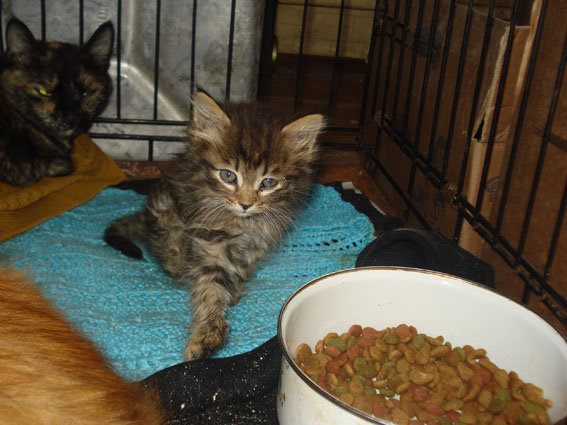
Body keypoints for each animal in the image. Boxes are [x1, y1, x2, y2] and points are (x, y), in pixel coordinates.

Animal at [104, 90, 326, 360]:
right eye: (228, 176)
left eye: (269, 182)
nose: (245, 204)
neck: (243, 224)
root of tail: (144, 216)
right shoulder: (209, 240)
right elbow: (211, 289)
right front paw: (206, 335)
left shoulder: (258, 243)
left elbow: (240, 269)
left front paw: (235, 288)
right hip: (167, 217)